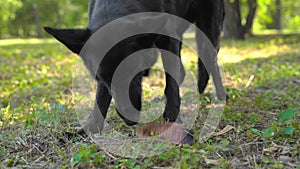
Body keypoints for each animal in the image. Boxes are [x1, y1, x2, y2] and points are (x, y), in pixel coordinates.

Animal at [44, 0, 226, 135]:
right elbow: (100, 97)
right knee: (182, 71)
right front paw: (90, 127)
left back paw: (221, 95)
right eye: (103, 78)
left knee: (210, 62)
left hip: (208, 29)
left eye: (133, 72)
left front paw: (172, 118)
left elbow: (171, 85)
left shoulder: (168, 38)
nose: (129, 120)